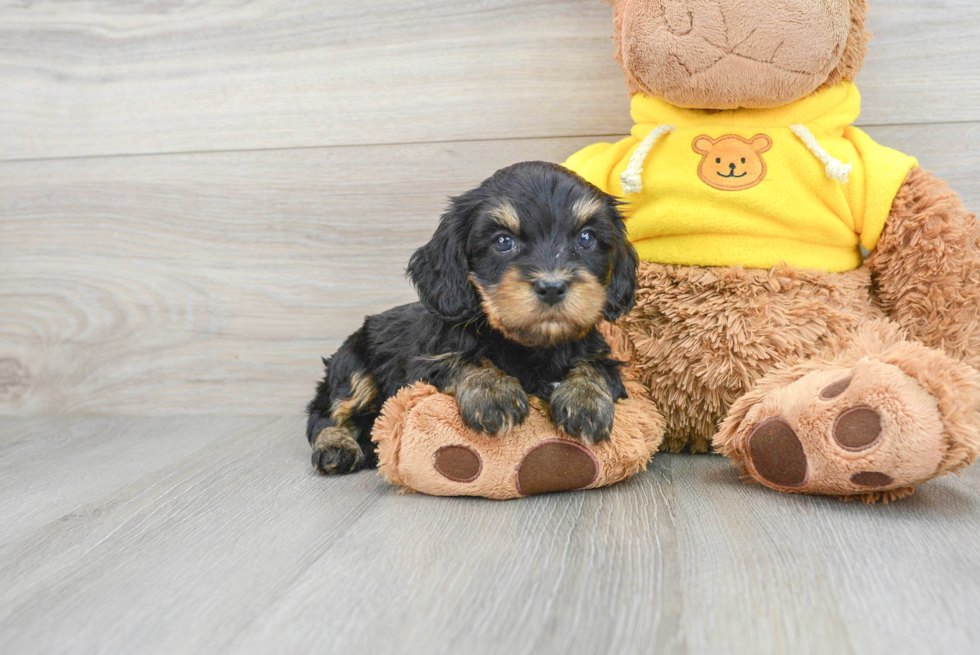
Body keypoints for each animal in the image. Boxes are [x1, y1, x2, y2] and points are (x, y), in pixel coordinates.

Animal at [308, 161, 644, 474]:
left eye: (586, 238)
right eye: (503, 242)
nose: (552, 287)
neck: (529, 345)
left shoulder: (600, 353)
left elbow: (596, 367)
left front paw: (584, 399)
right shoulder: (426, 363)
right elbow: (466, 358)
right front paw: (494, 392)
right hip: (351, 363)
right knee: (327, 413)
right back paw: (336, 447)